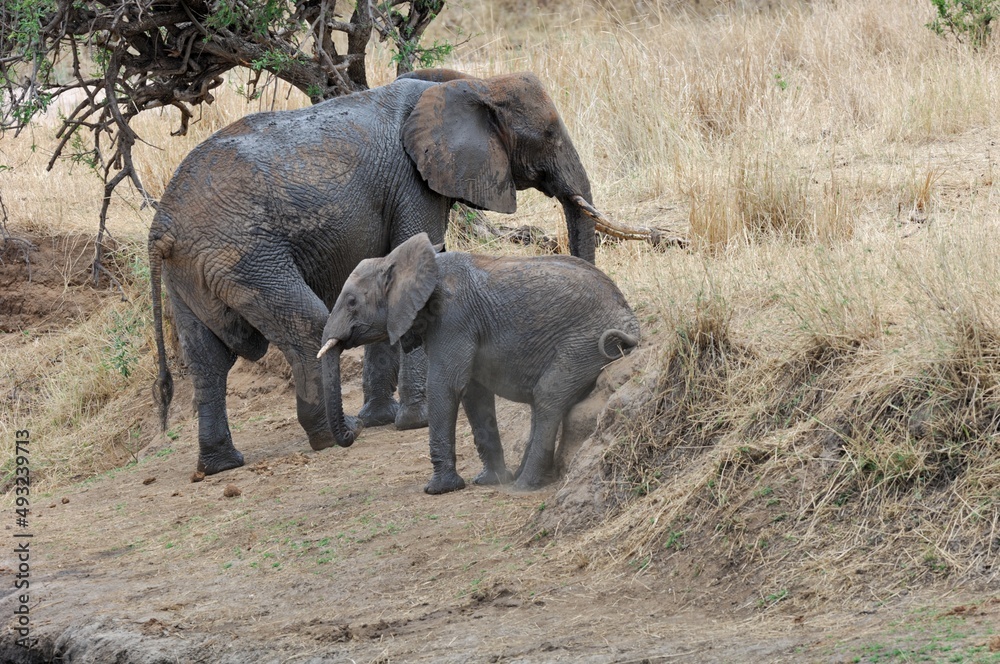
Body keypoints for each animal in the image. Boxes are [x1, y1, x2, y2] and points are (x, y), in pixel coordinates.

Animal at [148, 68, 620, 478]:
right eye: (549, 134)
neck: (472, 83)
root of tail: (161, 228)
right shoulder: (413, 183)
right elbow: (417, 254)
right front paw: (415, 419)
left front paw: (382, 418)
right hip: (244, 253)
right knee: (306, 326)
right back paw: (331, 435)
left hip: (190, 270)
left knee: (207, 358)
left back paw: (223, 464)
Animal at [320, 233, 640, 492]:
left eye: (351, 302)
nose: (355, 426)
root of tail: (631, 319)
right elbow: (474, 394)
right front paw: (489, 480)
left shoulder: (454, 317)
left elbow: (446, 386)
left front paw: (439, 489)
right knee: (542, 403)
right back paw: (521, 477)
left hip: (583, 343)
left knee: (548, 397)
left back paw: (523, 485)